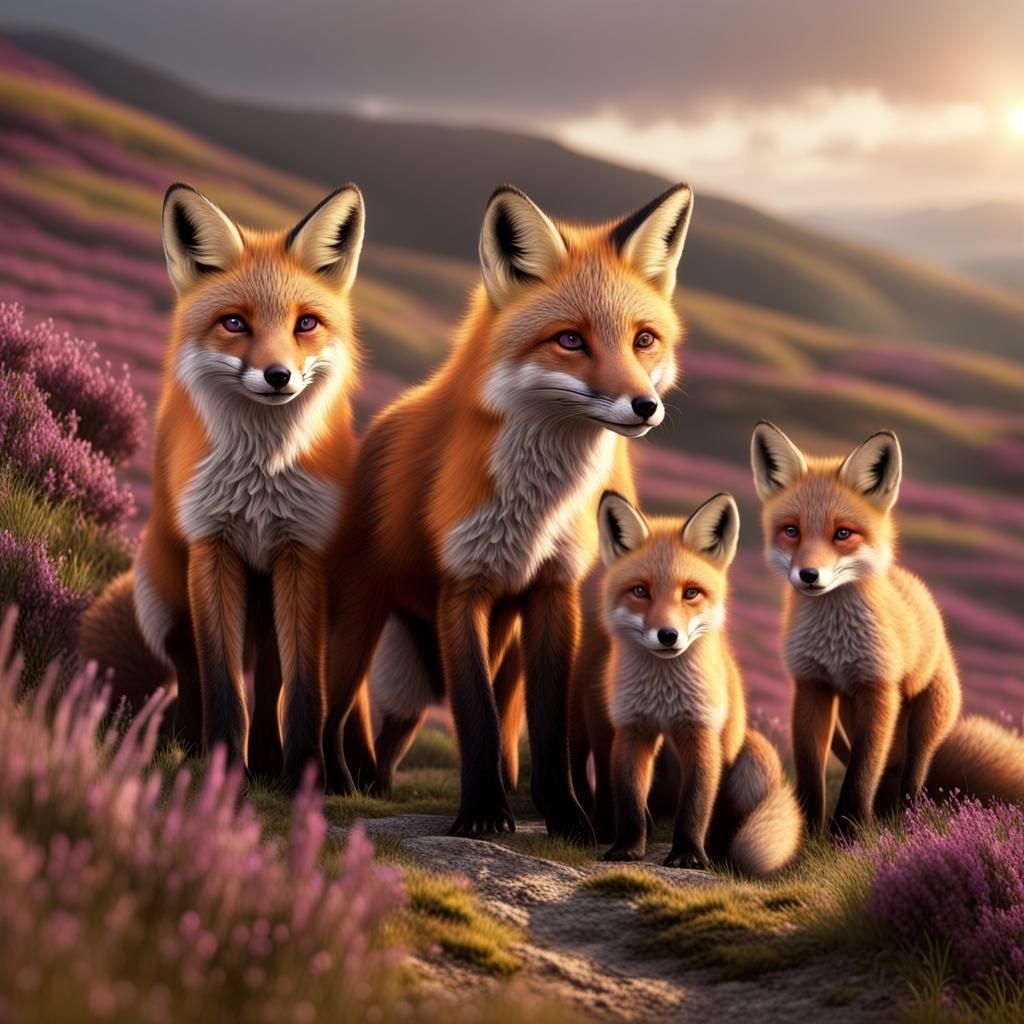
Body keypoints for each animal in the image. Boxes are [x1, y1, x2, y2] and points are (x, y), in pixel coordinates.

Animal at [81, 182, 368, 791]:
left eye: (305, 324)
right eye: (235, 323)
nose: (279, 376)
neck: (261, 477)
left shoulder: (301, 554)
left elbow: (301, 690)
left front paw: (302, 779)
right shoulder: (212, 550)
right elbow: (220, 684)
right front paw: (222, 770)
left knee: (269, 680)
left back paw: (268, 764)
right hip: (170, 599)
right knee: (190, 673)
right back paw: (190, 751)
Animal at [320, 182, 694, 842]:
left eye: (643, 339)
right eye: (570, 339)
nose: (644, 406)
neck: (536, 509)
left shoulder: (554, 589)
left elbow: (545, 725)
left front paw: (566, 816)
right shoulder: (462, 587)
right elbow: (476, 714)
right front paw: (481, 814)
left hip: (498, 648)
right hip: (360, 628)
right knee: (337, 710)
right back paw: (338, 782)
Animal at [595, 491, 801, 873]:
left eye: (691, 593)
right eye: (640, 591)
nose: (667, 635)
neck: (663, 698)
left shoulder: (701, 732)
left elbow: (694, 804)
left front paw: (688, 855)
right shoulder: (632, 730)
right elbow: (630, 800)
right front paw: (627, 848)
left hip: (745, 758)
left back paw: (717, 852)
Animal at [751, 421, 1024, 835]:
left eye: (843, 533)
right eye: (791, 531)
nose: (809, 575)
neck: (835, 645)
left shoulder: (878, 690)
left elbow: (861, 773)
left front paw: (847, 833)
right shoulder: (811, 686)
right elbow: (812, 771)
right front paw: (807, 833)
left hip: (924, 723)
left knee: (912, 777)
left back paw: (904, 822)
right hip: (852, 716)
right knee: (888, 772)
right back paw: (880, 817)